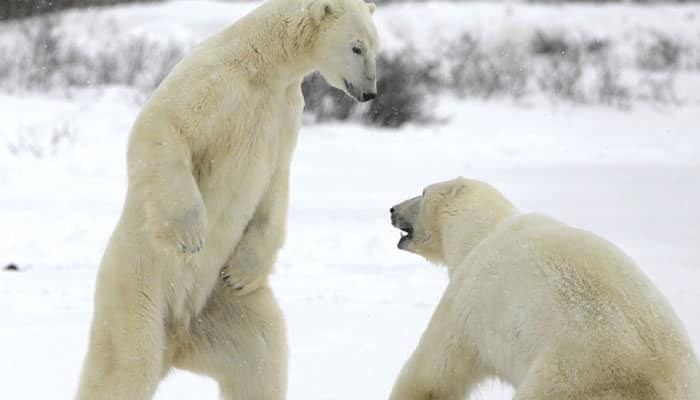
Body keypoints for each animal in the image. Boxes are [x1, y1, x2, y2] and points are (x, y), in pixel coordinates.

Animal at [76, 0, 380, 400]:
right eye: (356, 47)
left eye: (376, 47)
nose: (371, 92)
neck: (264, 64)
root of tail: (178, 341)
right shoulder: (214, 81)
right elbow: (164, 125)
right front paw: (191, 234)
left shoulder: (285, 112)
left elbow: (275, 184)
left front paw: (242, 272)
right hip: (138, 289)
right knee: (127, 364)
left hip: (223, 306)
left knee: (262, 354)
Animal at [388, 178, 700, 400]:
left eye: (423, 191)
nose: (392, 209)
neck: (485, 232)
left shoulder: (467, 298)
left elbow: (432, 372)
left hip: (567, 379)